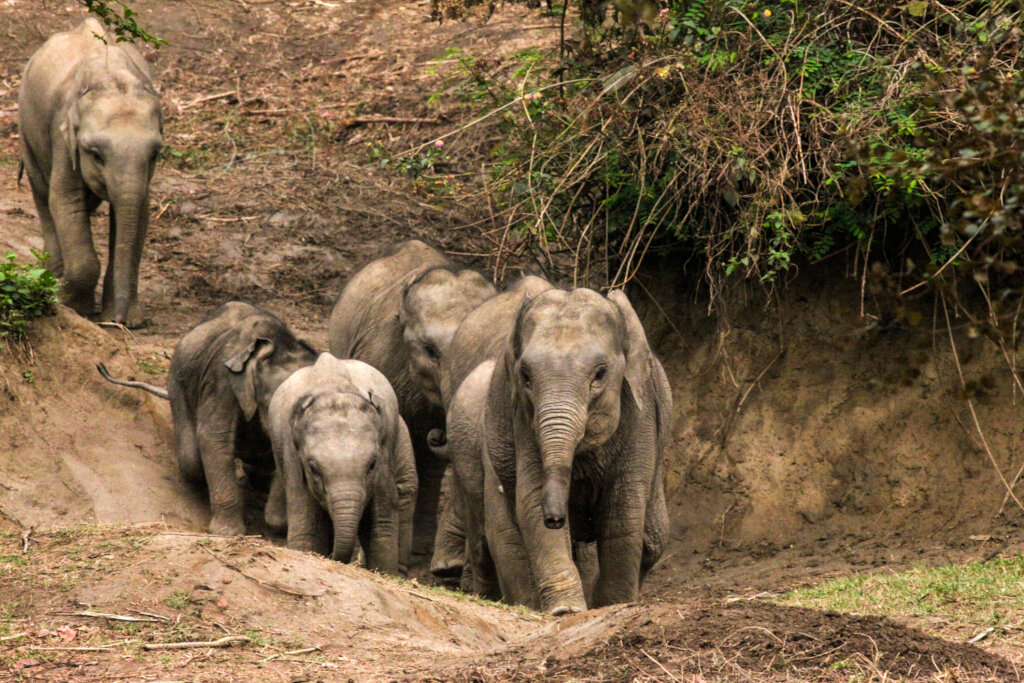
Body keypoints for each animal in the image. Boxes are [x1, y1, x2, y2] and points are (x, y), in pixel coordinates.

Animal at [18, 18, 163, 327]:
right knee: (43, 195)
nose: (117, 321)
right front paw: (71, 305)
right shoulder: (62, 133)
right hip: (27, 130)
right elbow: (64, 198)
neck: (111, 76)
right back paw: (53, 278)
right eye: (96, 155)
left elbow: (140, 211)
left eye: (155, 154)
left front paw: (130, 319)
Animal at [97, 301, 317, 535]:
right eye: (272, 404)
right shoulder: (220, 379)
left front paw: (278, 521)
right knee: (190, 459)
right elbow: (214, 436)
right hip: (178, 385)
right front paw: (227, 533)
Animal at [264, 353, 417, 576]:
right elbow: (307, 524)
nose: (334, 557)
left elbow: (381, 524)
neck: (334, 388)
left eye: (372, 465)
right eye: (313, 468)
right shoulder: (290, 451)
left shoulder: (386, 448)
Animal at [440, 287, 671, 615]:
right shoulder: (523, 420)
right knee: (498, 540)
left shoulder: (640, 414)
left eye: (600, 374)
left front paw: (612, 605)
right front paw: (566, 611)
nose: (556, 518)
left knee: (653, 537)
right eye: (525, 376)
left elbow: (623, 508)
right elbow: (530, 501)